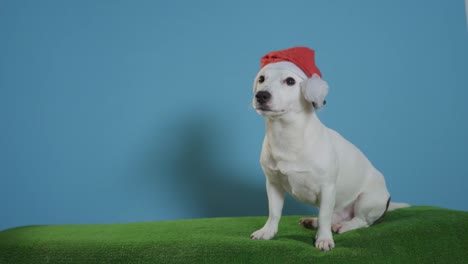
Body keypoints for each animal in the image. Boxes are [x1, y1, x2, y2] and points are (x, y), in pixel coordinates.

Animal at [250, 47, 408, 252]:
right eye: (261, 79)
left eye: (290, 81)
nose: (261, 95)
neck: (286, 133)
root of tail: (387, 200)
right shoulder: (273, 184)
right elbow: (274, 212)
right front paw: (267, 231)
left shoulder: (327, 188)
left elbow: (325, 215)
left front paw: (324, 239)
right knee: (333, 215)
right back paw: (313, 221)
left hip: (367, 200)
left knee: (360, 221)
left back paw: (342, 226)